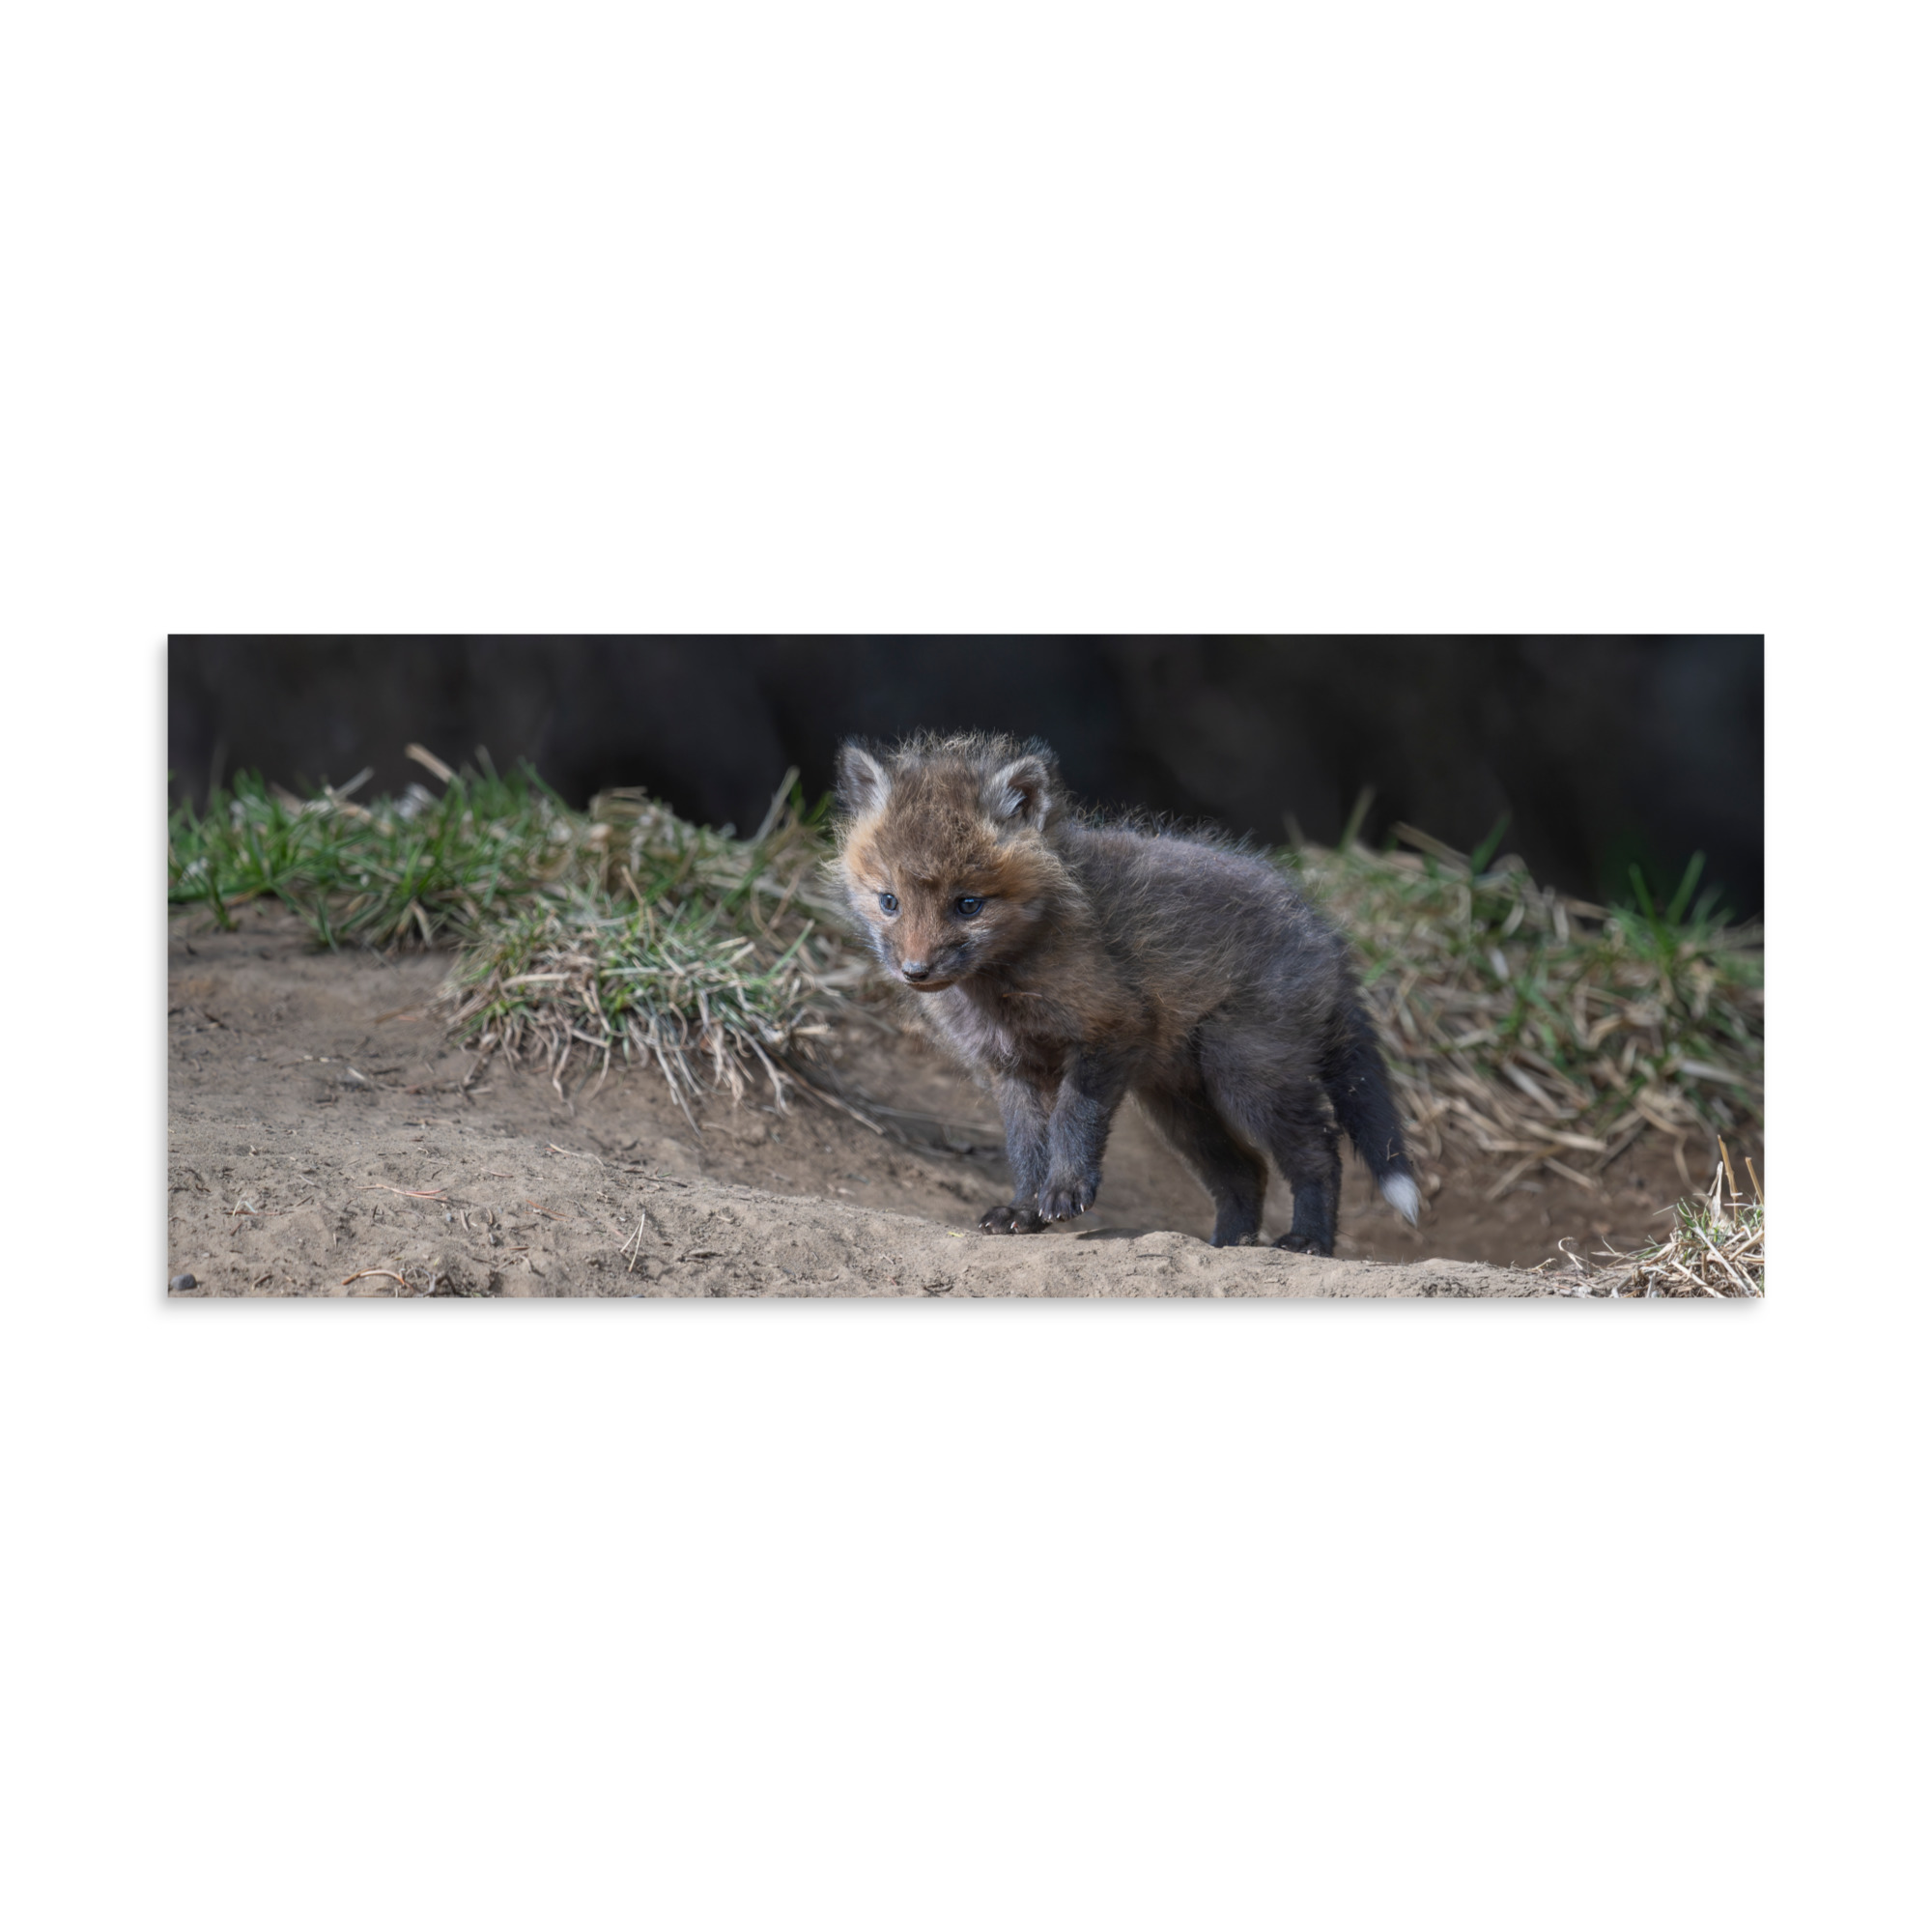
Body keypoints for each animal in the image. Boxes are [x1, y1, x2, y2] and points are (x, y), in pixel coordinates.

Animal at [831, 731, 1420, 1255]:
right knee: (1246, 1172)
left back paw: (1308, 1241)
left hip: (1246, 1075)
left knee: (1319, 1152)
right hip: (1179, 1105)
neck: (1003, 987)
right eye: (889, 901)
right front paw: (1023, 1210)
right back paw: (1228, 1246)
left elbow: (1073, 1120)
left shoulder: (1111, 1029)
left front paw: (1066, 1191)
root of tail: (1325, 933)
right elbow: (1025, 1147)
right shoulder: (1011, 1067)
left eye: (968, 905)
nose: (915, 971)